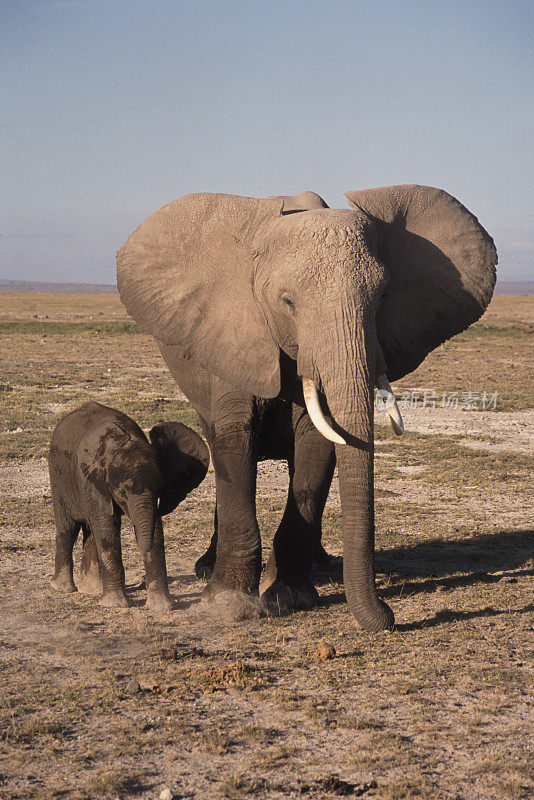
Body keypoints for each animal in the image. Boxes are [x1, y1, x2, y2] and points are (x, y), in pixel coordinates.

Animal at [49, 404, 210, 608]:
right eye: (121, 493)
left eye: (161, 488)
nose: (141, 582)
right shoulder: (95, 482)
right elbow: (107, 528)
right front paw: (115, 605)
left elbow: (155, 529)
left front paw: (161, 607)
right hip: (58, 476)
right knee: (68, 527)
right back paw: (63, 588)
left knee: (90, 530)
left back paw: (91, 590)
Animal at [117, 186, 498, 632]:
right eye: (287, 302)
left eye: (383, 298)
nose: (390, 615)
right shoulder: (233, 334)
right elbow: (235, 441)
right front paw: (229, 603)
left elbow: (315, 450)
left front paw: (290, 598)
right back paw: (205, 569)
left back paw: (321, 567)